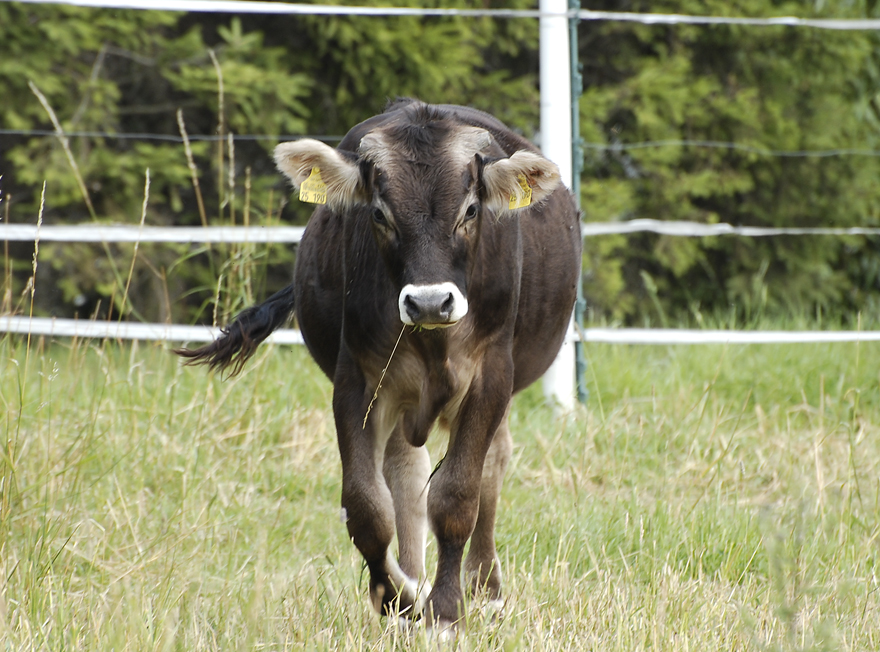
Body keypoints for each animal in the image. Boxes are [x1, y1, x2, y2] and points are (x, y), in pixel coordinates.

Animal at [176, 99, 580, 628]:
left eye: (470, 210)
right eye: (379, 213)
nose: (429, 302)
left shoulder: (491, 376)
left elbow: (457, 495)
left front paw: (445, 612)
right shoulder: (358, 381)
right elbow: (367, 504)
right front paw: (400, 599)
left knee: (491, 466)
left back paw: (486, 589)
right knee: (405, 476)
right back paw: (415, 576)